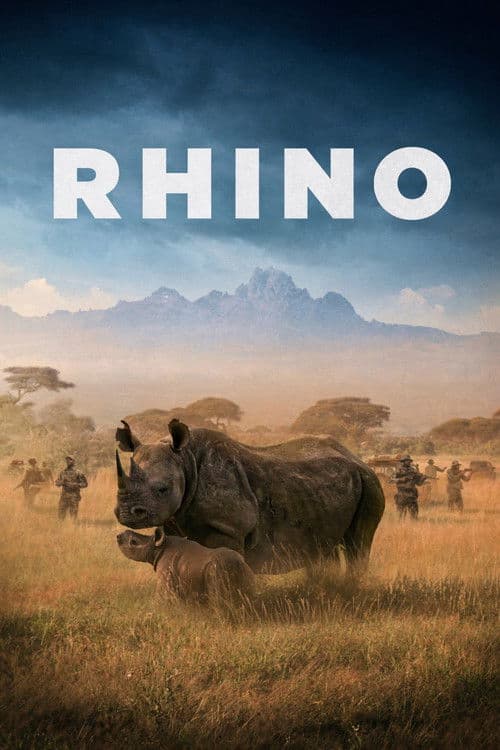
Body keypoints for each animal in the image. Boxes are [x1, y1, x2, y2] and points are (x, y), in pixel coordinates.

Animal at [115, 419, 385, 574]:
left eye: (163, 489)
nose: (127, 513)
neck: (185, 460)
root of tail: (356, 458)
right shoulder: (175, 521)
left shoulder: (228, 528)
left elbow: (225, 561)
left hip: (370, 483)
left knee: (358, 543)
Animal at [117, 527, 255, 601]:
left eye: (133, 542)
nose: (118, 536)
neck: (157, 548)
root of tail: (240, 563)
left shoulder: (166, 575)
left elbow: (162, 598)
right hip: (245, 570)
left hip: (217, 569)